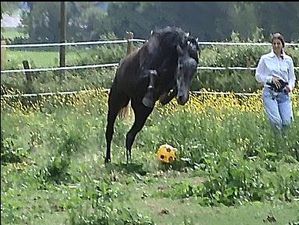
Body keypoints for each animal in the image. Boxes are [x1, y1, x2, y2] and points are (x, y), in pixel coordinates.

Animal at [104, 26, 200, 163]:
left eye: (194, 69)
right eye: (181, 66)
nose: (183, 98)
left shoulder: (168, 83)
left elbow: (171, 89)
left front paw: (164, 98)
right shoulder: (143, 76)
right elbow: (153, 73)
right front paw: (149, 96)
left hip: (142, 114)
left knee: (130, 135)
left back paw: (129, 161)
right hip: (116, 101)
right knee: (110, 131)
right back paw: (108, 159)